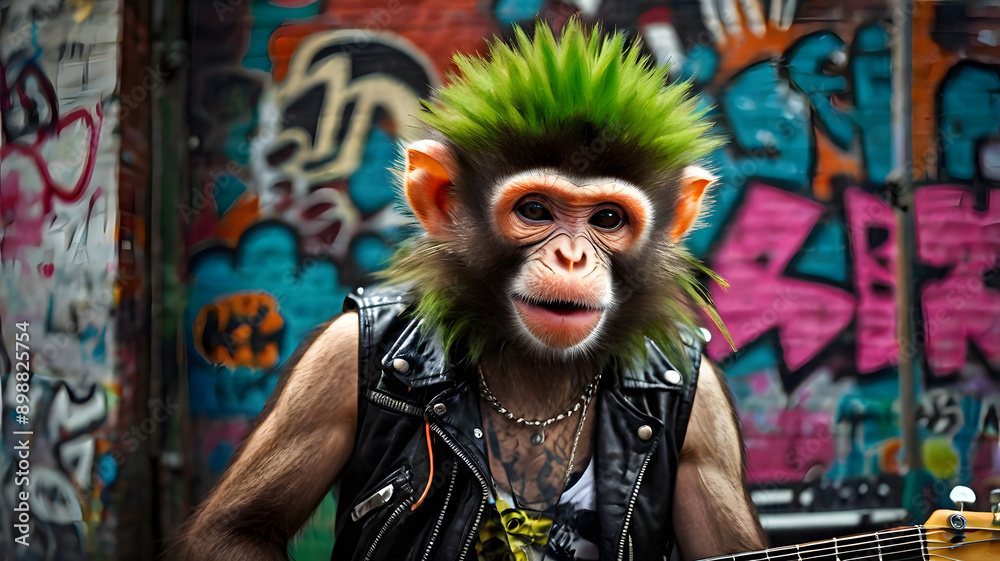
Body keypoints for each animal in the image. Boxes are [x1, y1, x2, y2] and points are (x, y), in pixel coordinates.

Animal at [176, 19, 766, 561]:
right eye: (534, 210)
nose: (572, 257)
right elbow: (238, 527)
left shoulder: (707, 411)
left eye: (607, 219)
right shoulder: (336, 357)